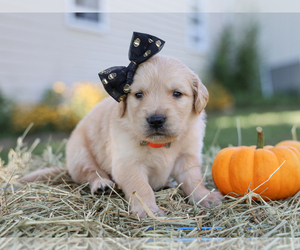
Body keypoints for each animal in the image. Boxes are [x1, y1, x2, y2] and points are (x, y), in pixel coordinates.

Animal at [19, 54, 220, 217]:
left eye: (177, 93)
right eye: (138, 94)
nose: (155, 120)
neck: (160, 144)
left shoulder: (187, 157)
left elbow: (194, 180)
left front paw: (205, 197)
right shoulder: (127, 163)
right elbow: (141, 187)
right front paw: (148, 210)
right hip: (80, 153)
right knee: (91, 171)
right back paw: (101, 185)